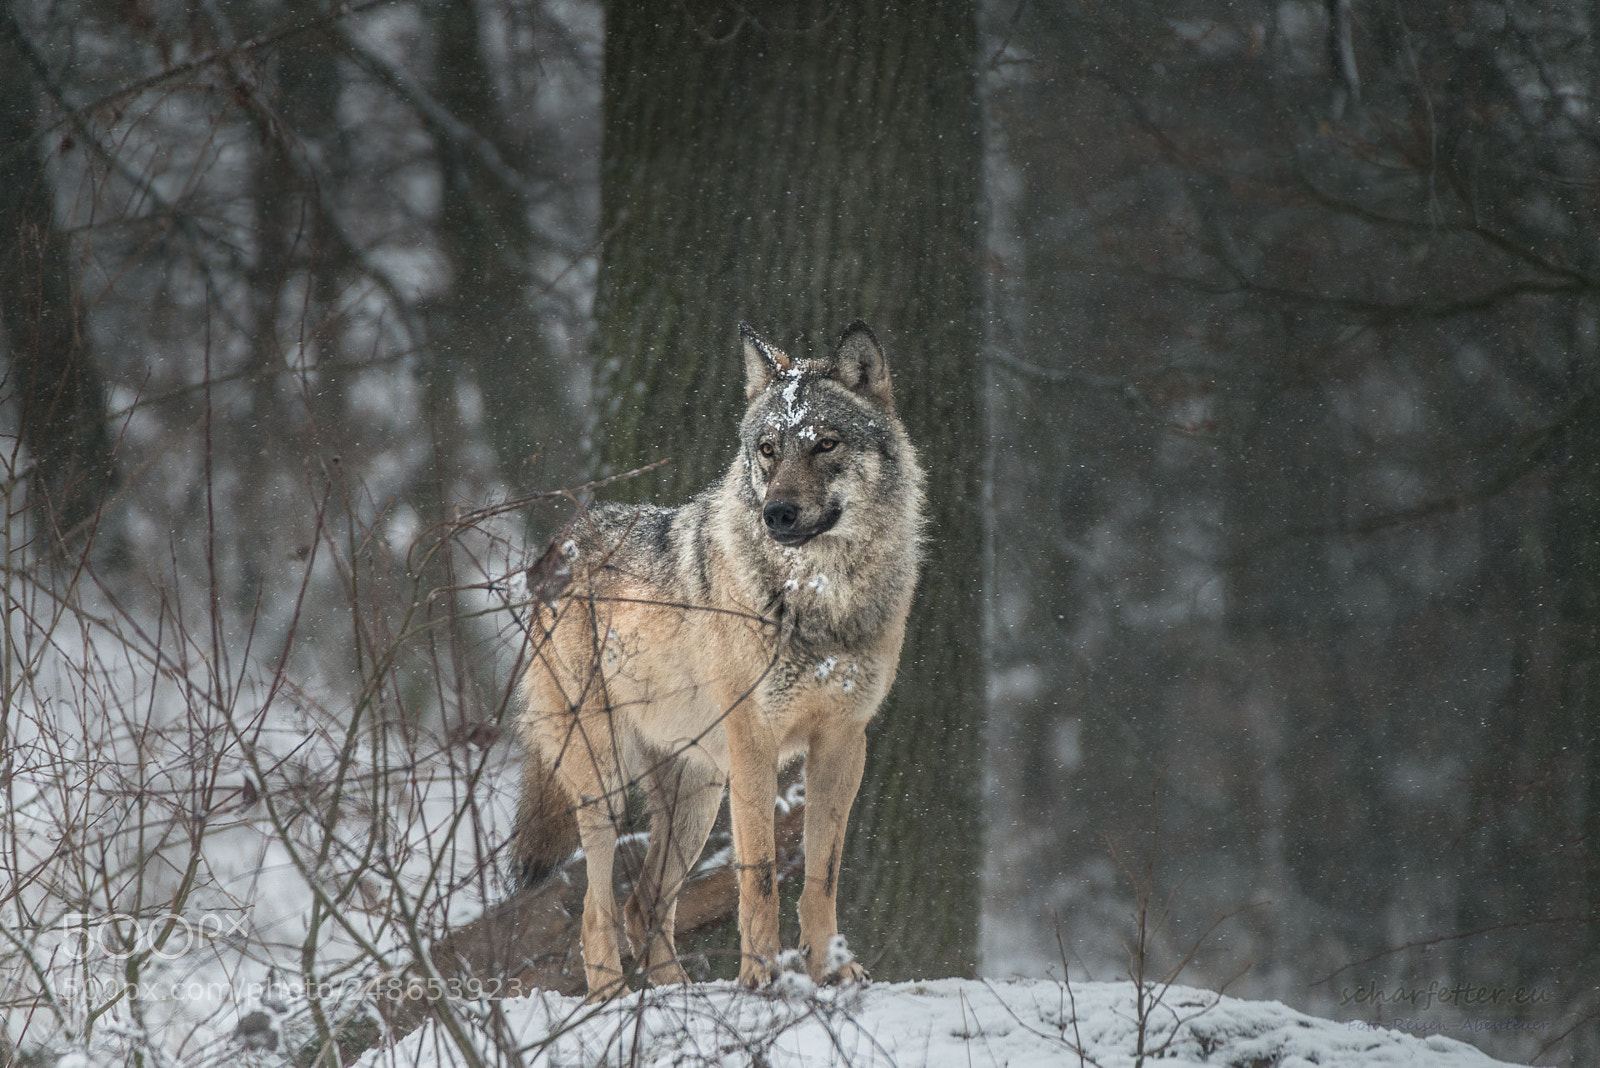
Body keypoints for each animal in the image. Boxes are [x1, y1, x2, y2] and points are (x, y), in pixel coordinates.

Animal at [513, 320, 925, 998]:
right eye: (768, 449)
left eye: (825, 444)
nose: (778, 513)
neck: (820, 597)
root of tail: (559, 544)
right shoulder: (753, 741)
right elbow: (758, 874)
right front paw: (761, 976)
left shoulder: (844, 742)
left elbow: (822, 874)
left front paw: (832, 971)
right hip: (607, 780)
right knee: (598, 911)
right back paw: (610, 998)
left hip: (697, 792)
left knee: (643, 903)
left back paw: (677, 991)